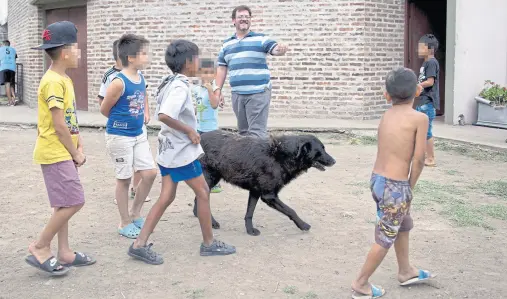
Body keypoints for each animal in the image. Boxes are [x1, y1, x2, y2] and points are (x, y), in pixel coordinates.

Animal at [192, 131, 336, 237]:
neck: (280, 154)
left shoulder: (255, 191)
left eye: (324, 148)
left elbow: (249, 212)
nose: (334, 161)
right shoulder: (269, 195)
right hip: (209, 179)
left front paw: (250, 230)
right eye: (320, 150)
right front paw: (303, 225)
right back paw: (212, 222)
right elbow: (291, 210)